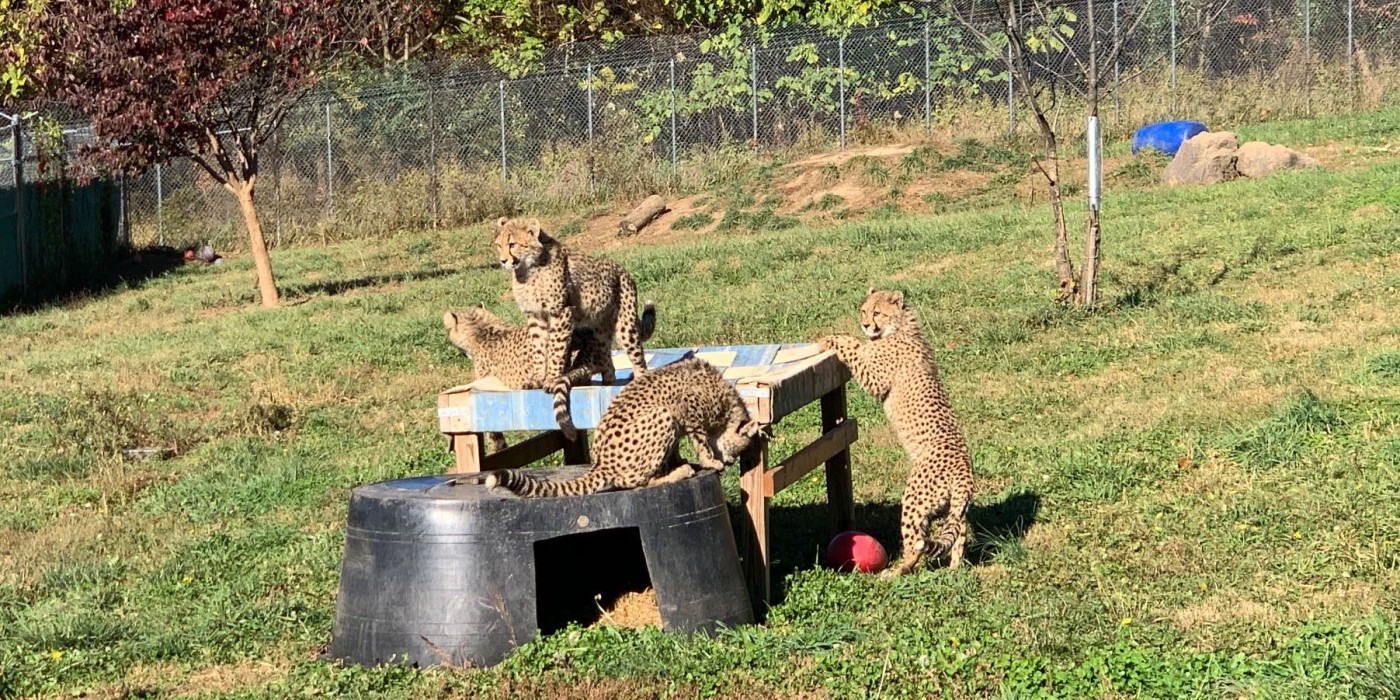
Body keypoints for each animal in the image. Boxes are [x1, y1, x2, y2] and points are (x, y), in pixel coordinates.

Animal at [484, 358, 767, 501]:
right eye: (739, 450)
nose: (729, 462)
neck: (727, 402)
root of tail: (600, 464)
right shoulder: (688, 409)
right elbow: (700, 441)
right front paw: (709, 462)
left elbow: (675, 449)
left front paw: (677, 461)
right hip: (662, 416)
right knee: (636, 483)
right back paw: (680, 473)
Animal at [498, 217, 649, 436]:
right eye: (498, 245)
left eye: (512, 244)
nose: (502, 261)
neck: (529, 268)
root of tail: (623, 270)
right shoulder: (536, 316)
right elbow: (538, 350)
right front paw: (537, 378)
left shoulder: (560, 312)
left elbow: (555, 349)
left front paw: (552, 379)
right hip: (599, 331)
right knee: (607, 360)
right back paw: (608, 382)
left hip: (625, 327)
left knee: (638, 358)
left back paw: (639, 378)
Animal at [817, 288, 974, 574]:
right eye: (864, 311)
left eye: (877, 312)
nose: (865, 325)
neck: (898, 327)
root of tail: (964, 469)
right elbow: (858, 346)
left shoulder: (874, 378)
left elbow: (854, 350)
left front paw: (831, 339)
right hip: (955, 508)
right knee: (958, 536)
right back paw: (954, 570)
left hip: (914, 498)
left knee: (916, 544)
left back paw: (896, 572)